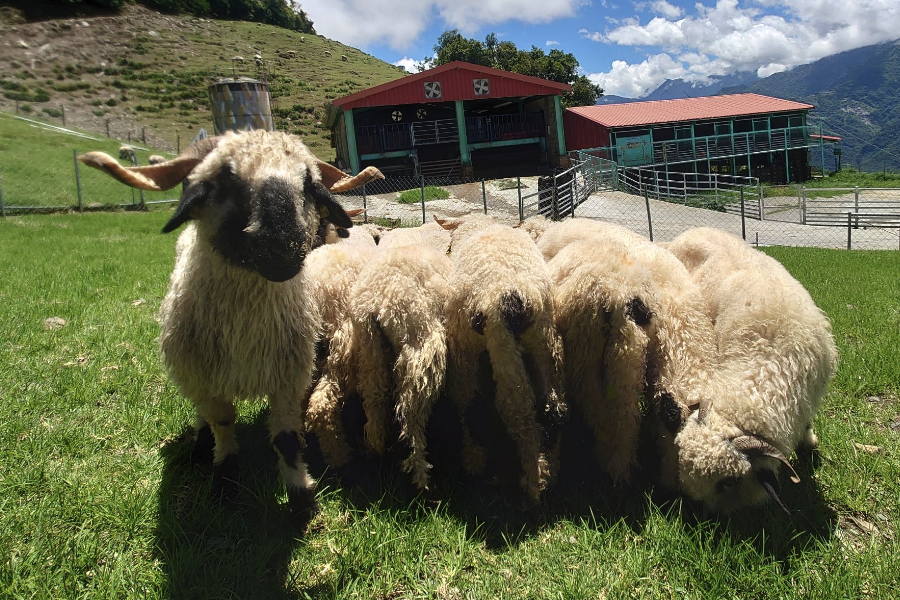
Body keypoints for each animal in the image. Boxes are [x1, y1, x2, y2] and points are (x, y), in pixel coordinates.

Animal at [77, 129, 384, 528]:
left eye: (307, 182)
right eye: (224, 180)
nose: (282, 242)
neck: (246, 331)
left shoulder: (288, 378)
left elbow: (286, 441)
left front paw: (302, 497)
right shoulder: (208, 381)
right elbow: (222, 422)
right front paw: (224, 480)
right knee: (201, 412)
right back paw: (200, 444)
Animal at [444, 223, 568, 504]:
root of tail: (509, 295)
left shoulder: (464, 353)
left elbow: (471, 405)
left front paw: (475, 462)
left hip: (498, 346)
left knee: (513, 409)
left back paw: (527, 482)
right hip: (544, 338)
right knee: (552, 407)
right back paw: (548, 473)